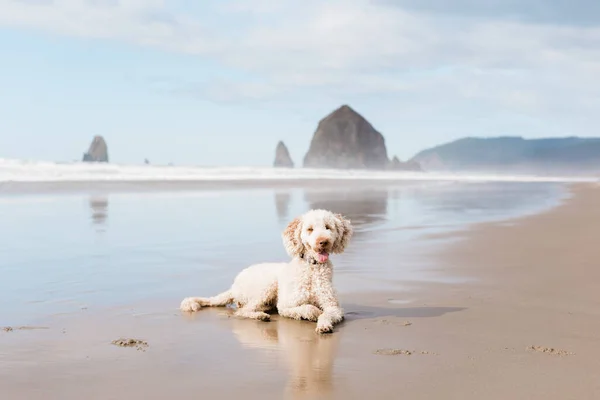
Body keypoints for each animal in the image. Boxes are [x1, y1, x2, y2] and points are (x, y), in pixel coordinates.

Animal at [180, 209, 354, 334]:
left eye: (328, 227)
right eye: (310, 229)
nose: (323, 242)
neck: (312, 268)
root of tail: (233, 286)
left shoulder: (333, 307)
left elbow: (327, 313)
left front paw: (323, 324)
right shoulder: (286, 305)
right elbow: (308, 308)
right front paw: (314, 313)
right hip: (267, 285)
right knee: (242, 311)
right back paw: (260, 316)